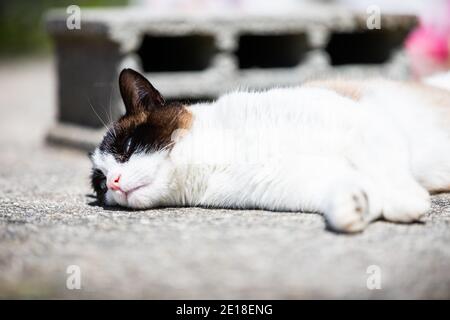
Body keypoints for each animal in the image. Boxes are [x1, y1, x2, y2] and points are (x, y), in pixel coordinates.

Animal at [89, 68, 450, 232]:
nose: (115, 183)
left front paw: (405, 203)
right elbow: (346, 188)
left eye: (128, 147)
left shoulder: (363, 125)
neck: (217, 153)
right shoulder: (295, 179)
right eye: (101, 184)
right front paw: (356, 209)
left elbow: (387, 173)